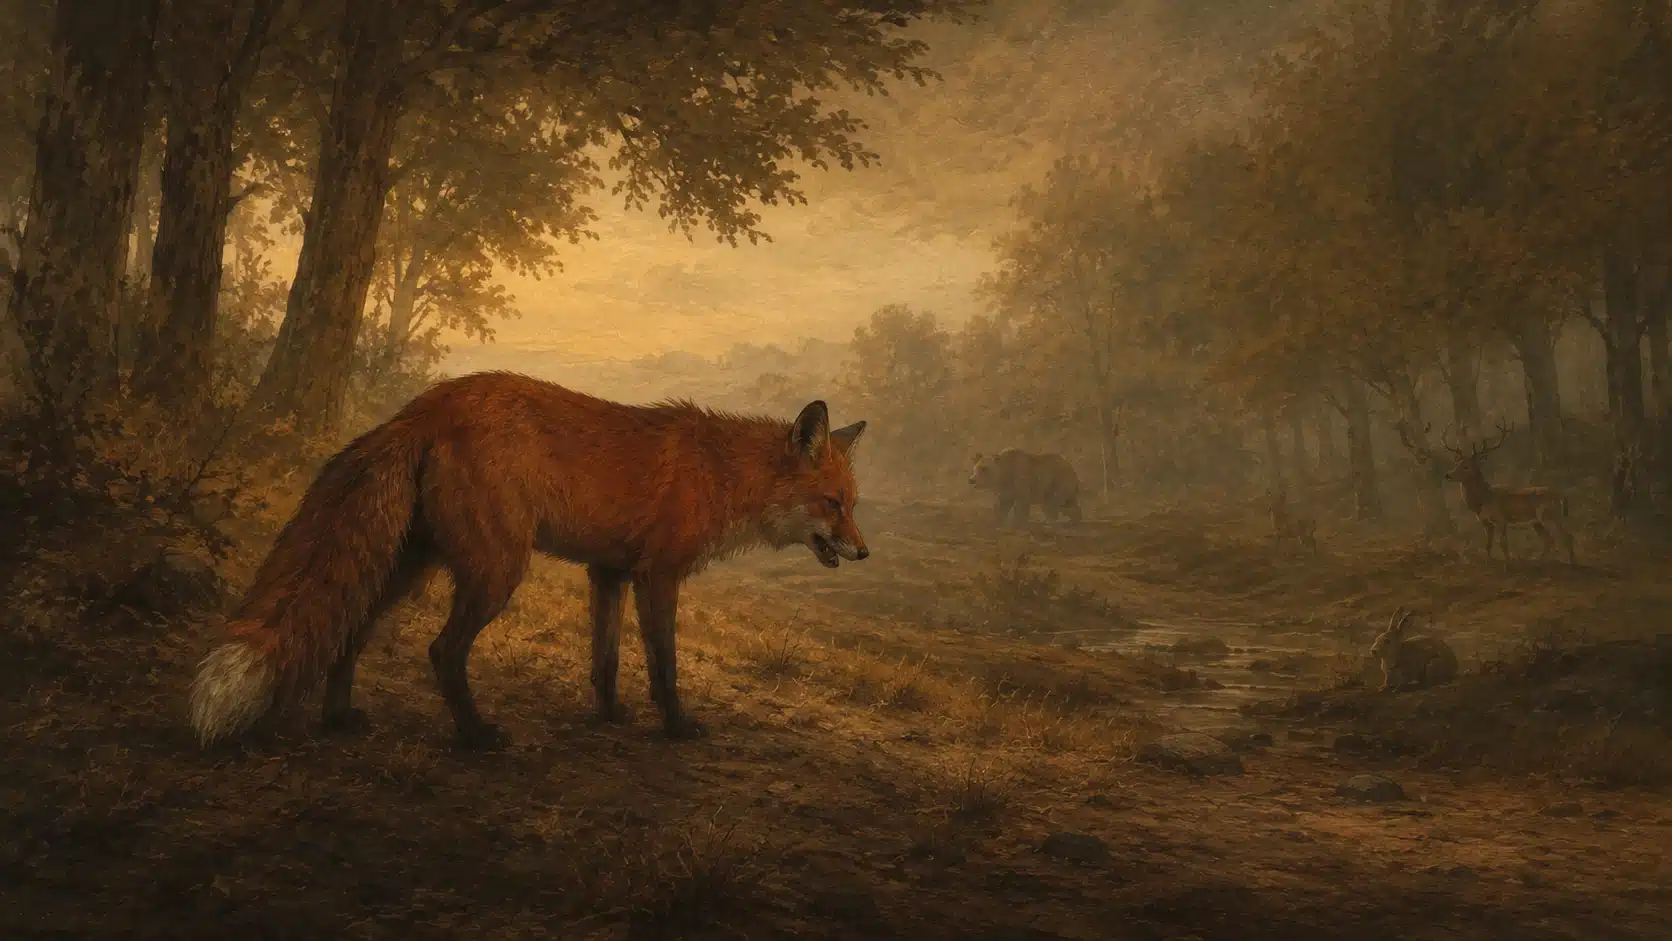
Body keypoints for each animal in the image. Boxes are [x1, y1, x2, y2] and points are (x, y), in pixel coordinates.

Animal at [189, 371, 869, 750]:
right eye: (832, 504)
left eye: (854, 505)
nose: (863, 551)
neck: (722, 474)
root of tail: (429, 404)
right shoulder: (658, 575)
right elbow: (665, 666)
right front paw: (675, 728)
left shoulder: (608, 572)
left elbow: (605, 662)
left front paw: (609, 717)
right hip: (497, 570)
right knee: (443, 651)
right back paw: (475, 738)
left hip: (409, 566)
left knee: (348, 631)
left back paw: (339, 719)